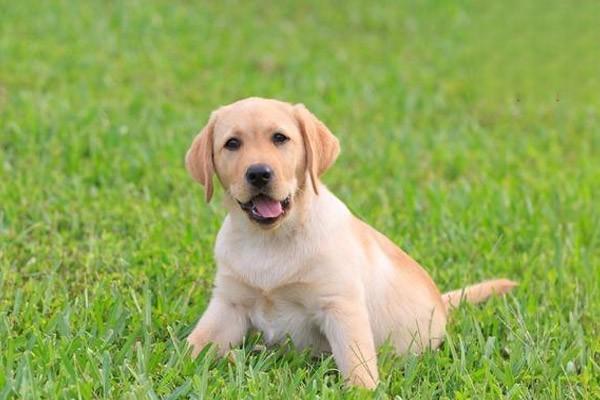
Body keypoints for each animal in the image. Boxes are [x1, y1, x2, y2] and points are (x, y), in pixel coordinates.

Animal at [184, 96, 516, 388]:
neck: (269, 240)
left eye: (280, 138)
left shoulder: (340, 306)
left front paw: (363, 391)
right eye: (232, 144)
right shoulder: (229, 305)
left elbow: (357, 363)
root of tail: (442, 303)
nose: (258, 173)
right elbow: (192, 346)